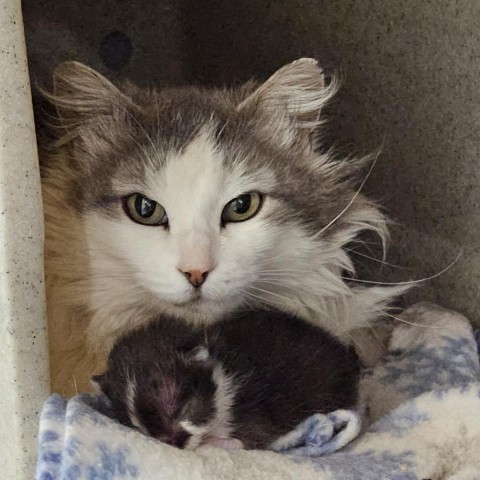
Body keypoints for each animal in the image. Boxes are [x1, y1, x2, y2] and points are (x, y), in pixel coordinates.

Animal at [94, 310, 358, 452]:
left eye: (184, 411)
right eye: (140, 428)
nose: (174, 444)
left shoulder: (255, 420)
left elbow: (240, 442)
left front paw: (210, 442)